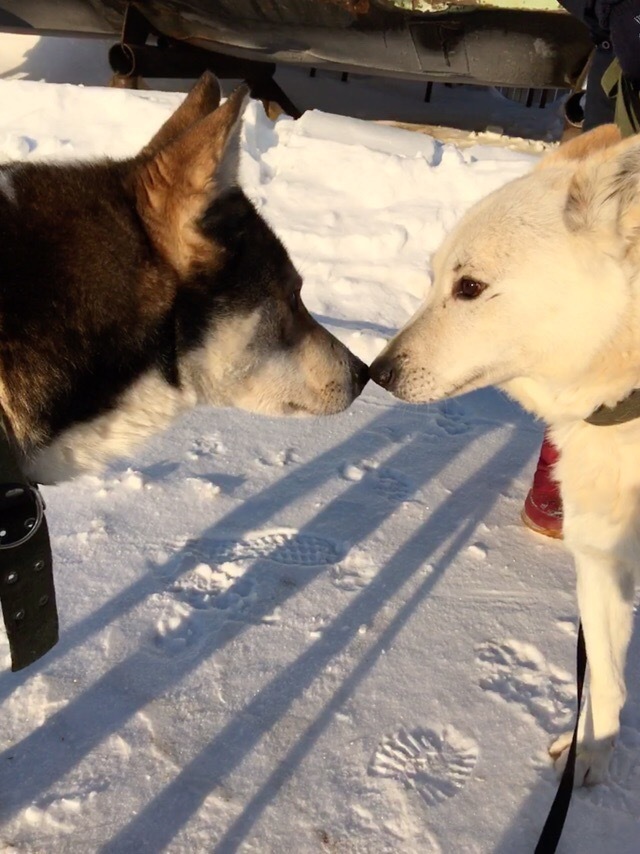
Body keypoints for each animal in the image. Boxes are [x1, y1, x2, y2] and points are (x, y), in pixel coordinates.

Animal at [370, 127, 640, 788]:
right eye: (433, 277)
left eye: (469, 287)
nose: (376, 372)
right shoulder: (600, 564)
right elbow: (608, 685)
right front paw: (591, 753)